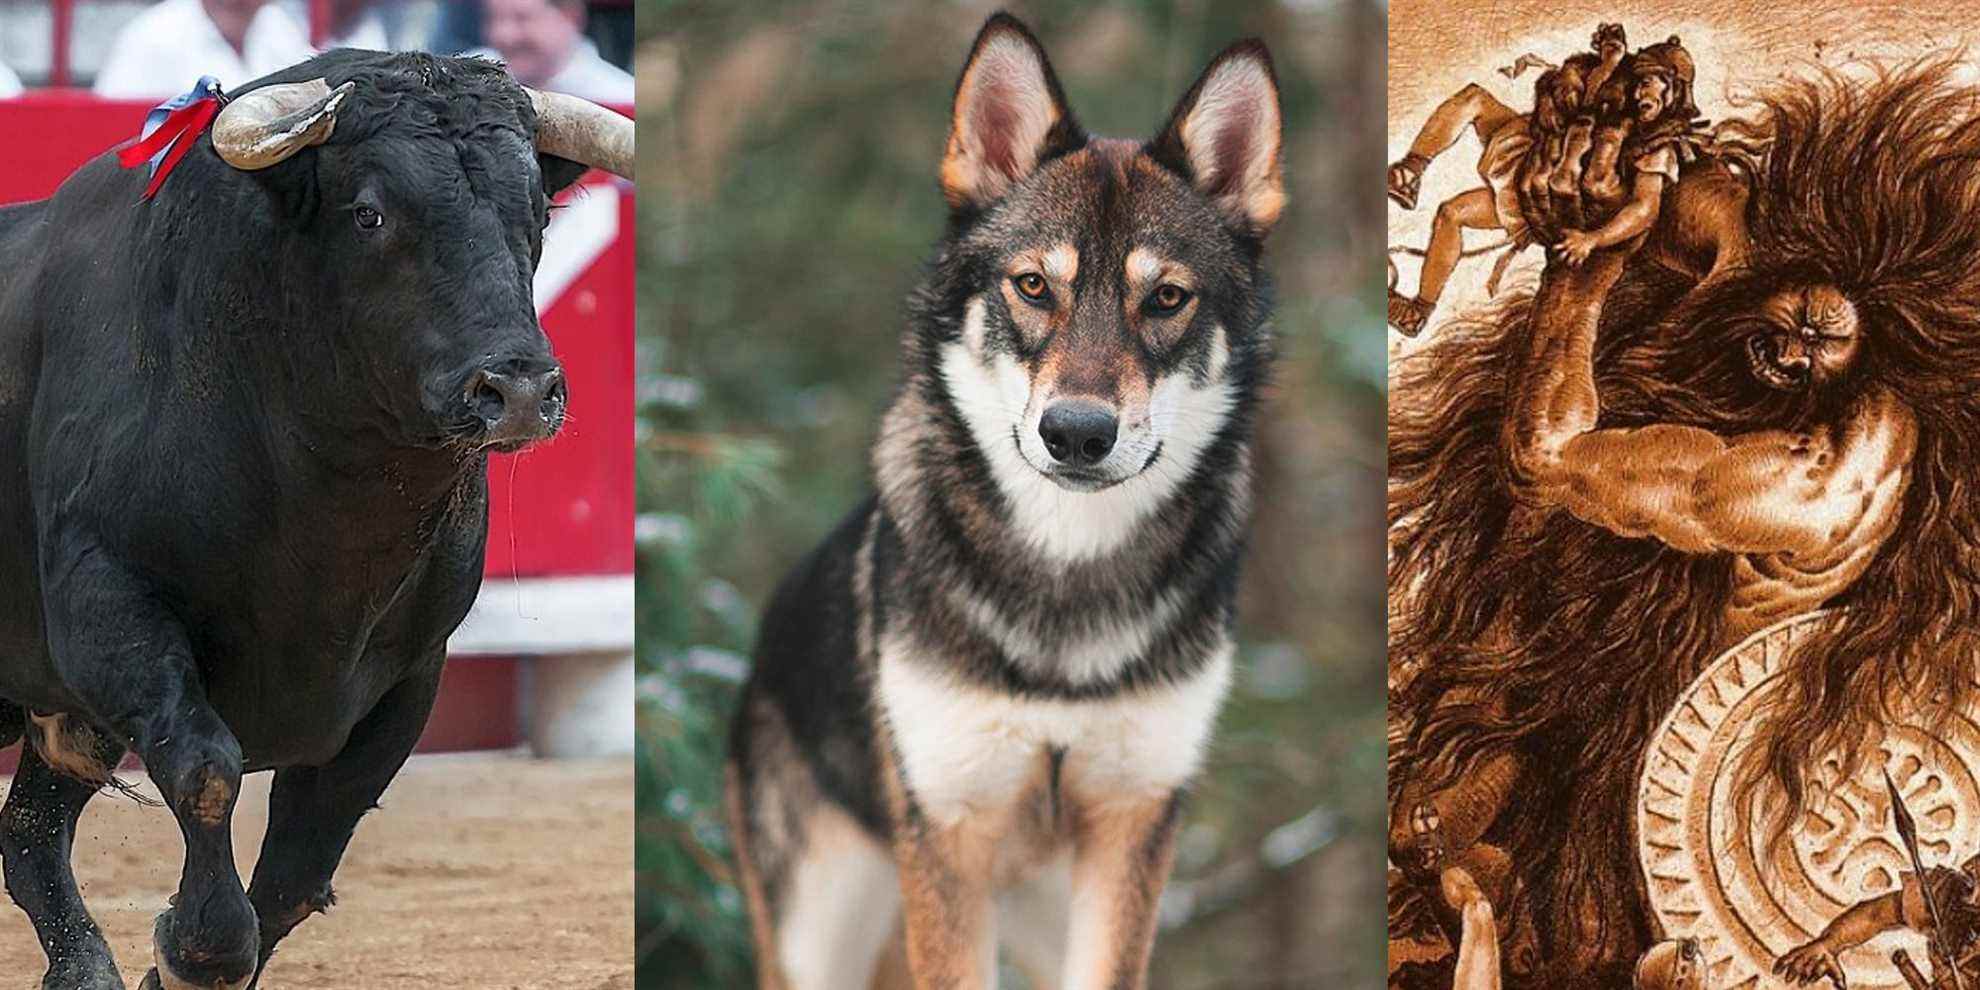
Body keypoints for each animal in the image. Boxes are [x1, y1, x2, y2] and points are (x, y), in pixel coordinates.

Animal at [0, 52, 625, 990]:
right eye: (369, 212)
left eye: (537, 214)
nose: (516, 389)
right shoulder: (106, 606)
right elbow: (208, 768)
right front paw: (201, 951)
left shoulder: (408, 677)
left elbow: (302, 865)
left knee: (31, 837)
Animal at [728, 13, 1283, 990]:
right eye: (1033, 287)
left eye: (1165, 299)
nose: (1077, 433)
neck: (1066, 578)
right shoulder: (951, 831)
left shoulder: (1133, 826)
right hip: (821, 932)